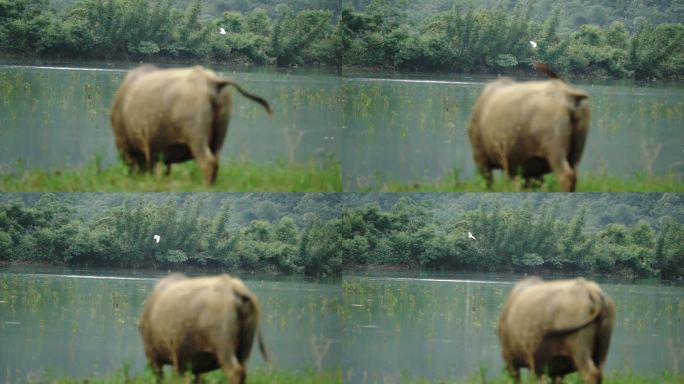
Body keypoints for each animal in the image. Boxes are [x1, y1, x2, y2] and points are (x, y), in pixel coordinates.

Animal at [110, 65, 272, 186]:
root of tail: (211, 82)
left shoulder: (124, 142)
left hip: (196, 134)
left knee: (207, 162)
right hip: (219, 136)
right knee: (216, 161)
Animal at [138, 274, 268, 382]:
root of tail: (235, 288)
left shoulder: (153, 353)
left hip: (223, 343)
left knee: (234, 371)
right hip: (245, 347)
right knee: (243, 370)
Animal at [468, 62, 592, 192]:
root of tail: (570, 95)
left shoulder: (480, 156)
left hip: (554, 147)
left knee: (565, 175)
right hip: (576, 151)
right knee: (574, 174)